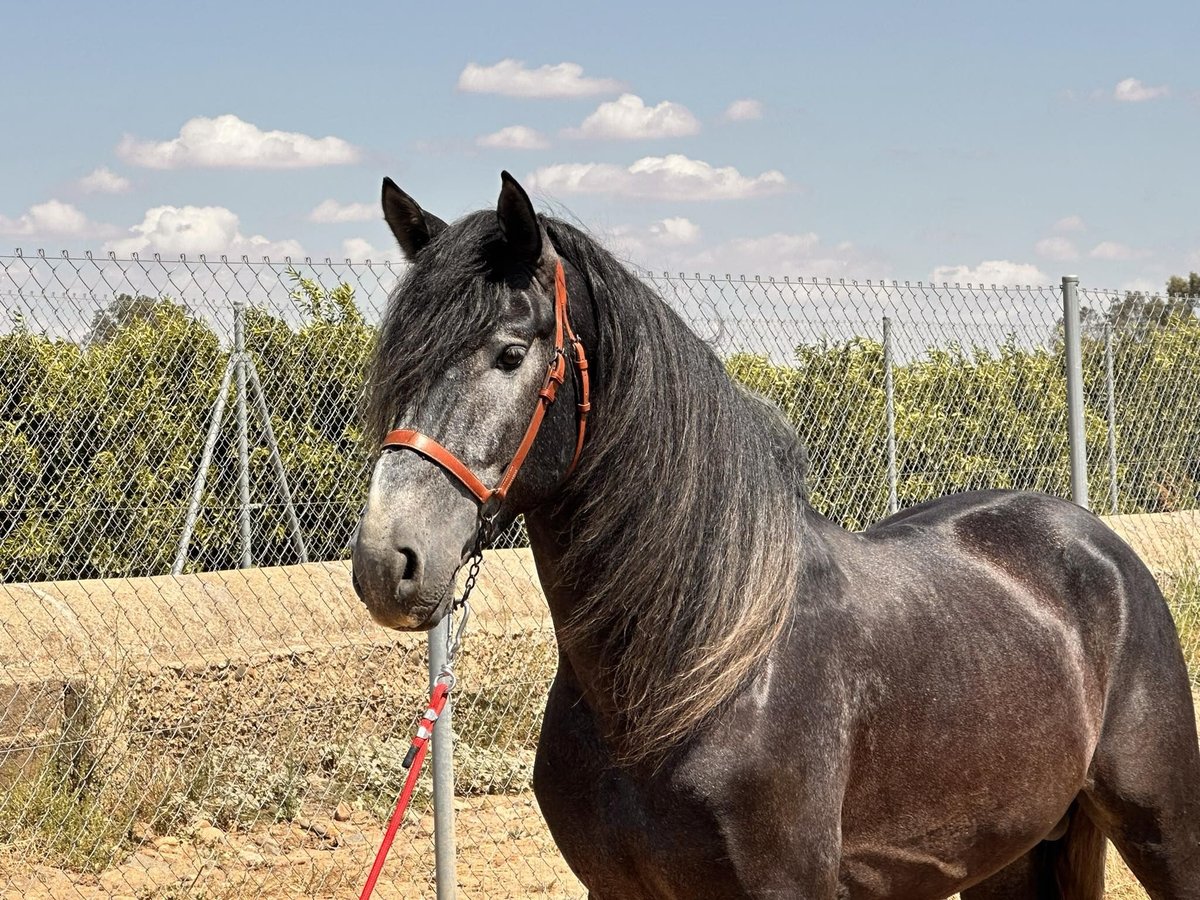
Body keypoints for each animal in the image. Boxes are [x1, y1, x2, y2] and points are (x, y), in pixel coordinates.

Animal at [350, 172, 1200, 897]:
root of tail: (1096, 543)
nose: (386, 563)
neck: (693, 666)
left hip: (1161, 829)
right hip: (1010, 855)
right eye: (396, 363)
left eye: (510, 353)